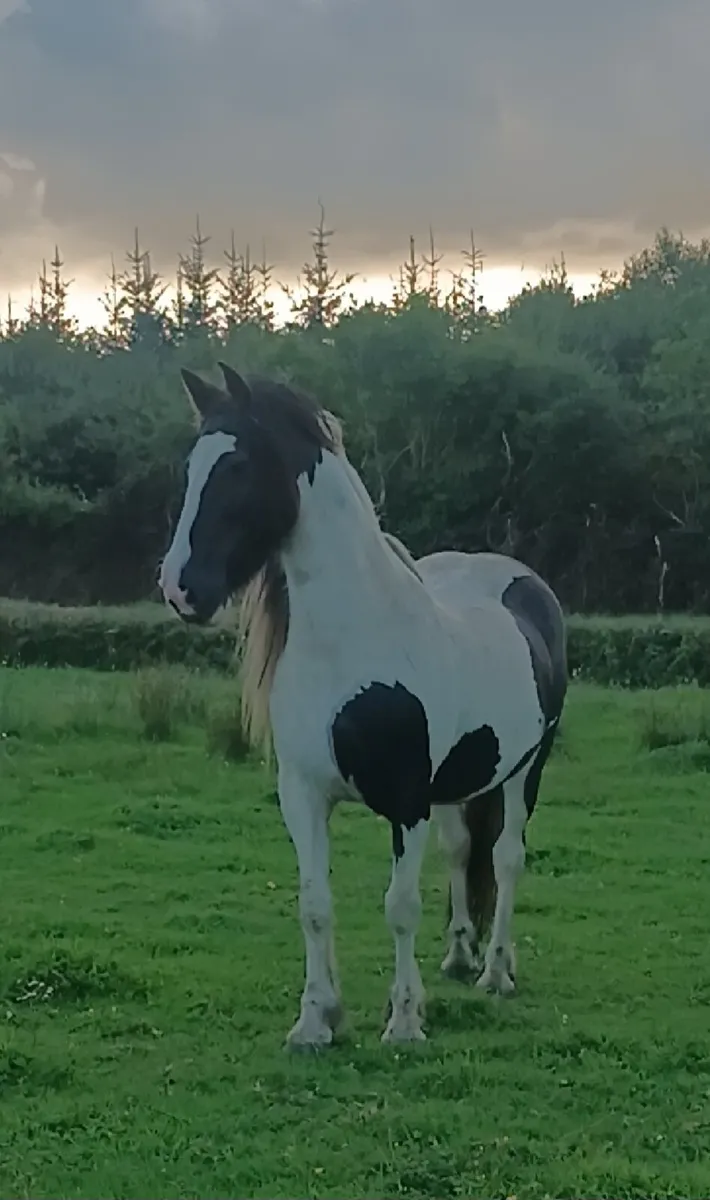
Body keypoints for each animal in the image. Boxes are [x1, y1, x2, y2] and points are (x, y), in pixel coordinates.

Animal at [158, 362, 568, 1050]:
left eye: (238, 465)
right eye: (191, 467)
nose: (180, 588)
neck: (353, 640)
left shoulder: (405, 802)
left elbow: (400, 907)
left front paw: (403, 1020)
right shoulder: (302, 795)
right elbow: (314, 905)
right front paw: (316, 1019)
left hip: (525, 770)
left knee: (507, 859)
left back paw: (495, 972)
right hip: (458, 786)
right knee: (464, 852)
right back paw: (460, 956)